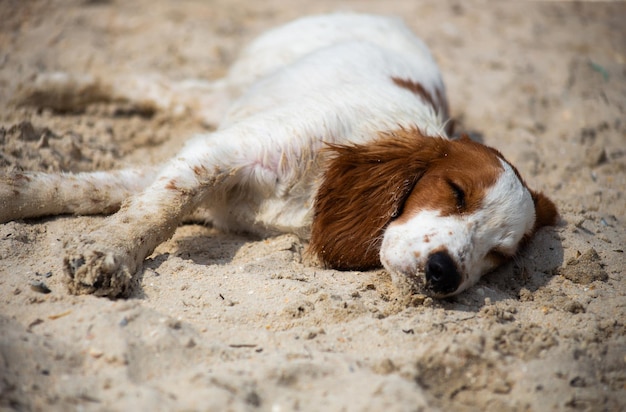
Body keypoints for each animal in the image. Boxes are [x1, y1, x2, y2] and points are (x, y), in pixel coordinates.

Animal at [0, 12, 556, 296]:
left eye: (498, 256)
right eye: (456, 192)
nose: (446, 274)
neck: (312, 190)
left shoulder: (210, 187)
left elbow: (95, 190)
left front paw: (14, 195)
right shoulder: (220, 149)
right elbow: (155, 210)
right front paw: (108, 254)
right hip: (242, 84)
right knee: (149, 82)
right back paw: (39, 87)